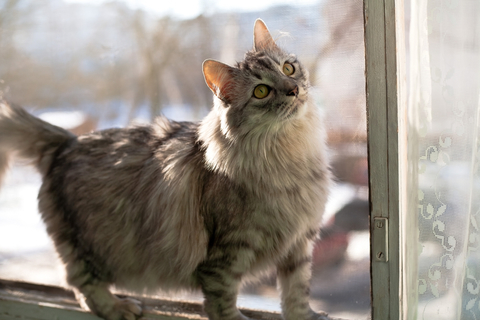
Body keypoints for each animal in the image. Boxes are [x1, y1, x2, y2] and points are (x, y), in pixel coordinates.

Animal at [0, 19, 330, 320]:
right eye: (261, 91)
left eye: (288, 68)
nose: (293, 89)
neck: (289, 156)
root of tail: (69, 140)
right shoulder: (227, 253)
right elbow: (222, 302)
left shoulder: (299, 245)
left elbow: (296, 293)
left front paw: (306, 316)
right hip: (87, 248)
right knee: (79, 282)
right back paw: (118, 307)